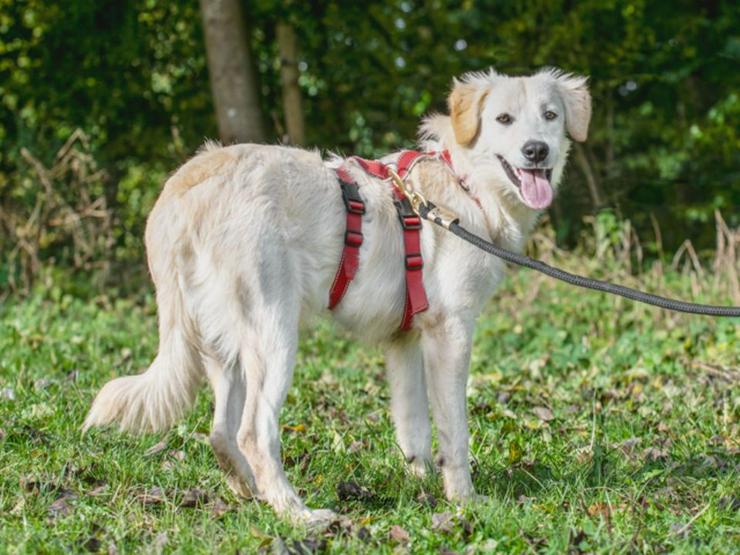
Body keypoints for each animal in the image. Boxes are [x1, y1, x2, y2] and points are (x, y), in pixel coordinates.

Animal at [85, 67, 588, 524]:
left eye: (549, 115)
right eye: (503, 118)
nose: (536, 151)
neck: (464, 186)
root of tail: (183, 188)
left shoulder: (404, 340)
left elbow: (413, 426)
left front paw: (421, 480)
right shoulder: (451, 332)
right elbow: (454, 430)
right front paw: (463, 499)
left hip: (223, 347)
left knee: (220, 433)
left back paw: (251, 492)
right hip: (273, 336)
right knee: (253, 432)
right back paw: (296, 513)